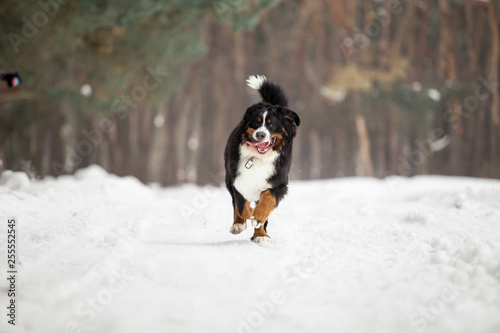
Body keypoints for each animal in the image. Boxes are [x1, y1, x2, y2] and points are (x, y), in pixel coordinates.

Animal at [224, 74, 300, 241]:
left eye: (271, 125)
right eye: (256, 122)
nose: (260, 134)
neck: (258, 158)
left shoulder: (278, 182)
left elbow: (267, 200)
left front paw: (258, 220)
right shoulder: (236, 178)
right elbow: (241, 204)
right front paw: (247, 217)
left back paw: (261, 235)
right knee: (235, 204)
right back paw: (238, 224)